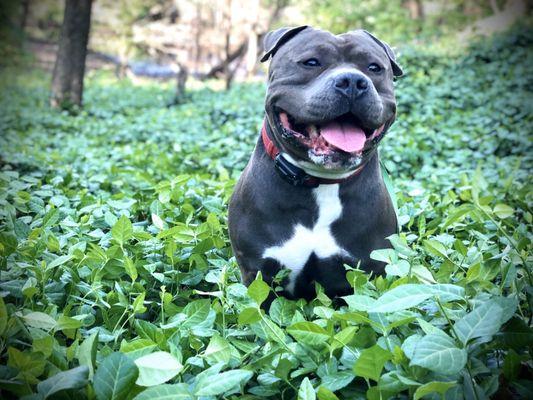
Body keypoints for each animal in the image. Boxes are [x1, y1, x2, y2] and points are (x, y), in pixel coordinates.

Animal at [227, 26, 402, 302]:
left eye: (374, 68)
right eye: (311, 62)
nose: (353, 82)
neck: (321, 182)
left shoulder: (369, 273)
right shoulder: (258, 275)